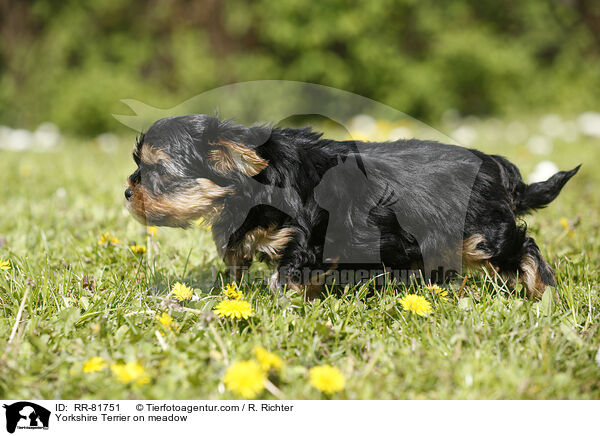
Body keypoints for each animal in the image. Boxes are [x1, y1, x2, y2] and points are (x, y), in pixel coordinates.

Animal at [124, 114, 580, 298]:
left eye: (155, 170)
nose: (128, 192)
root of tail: (497, 168)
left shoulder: (305, 240)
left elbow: (285, 276)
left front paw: (281, 306)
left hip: (482, 232)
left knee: (523, 249)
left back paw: (542, 293)